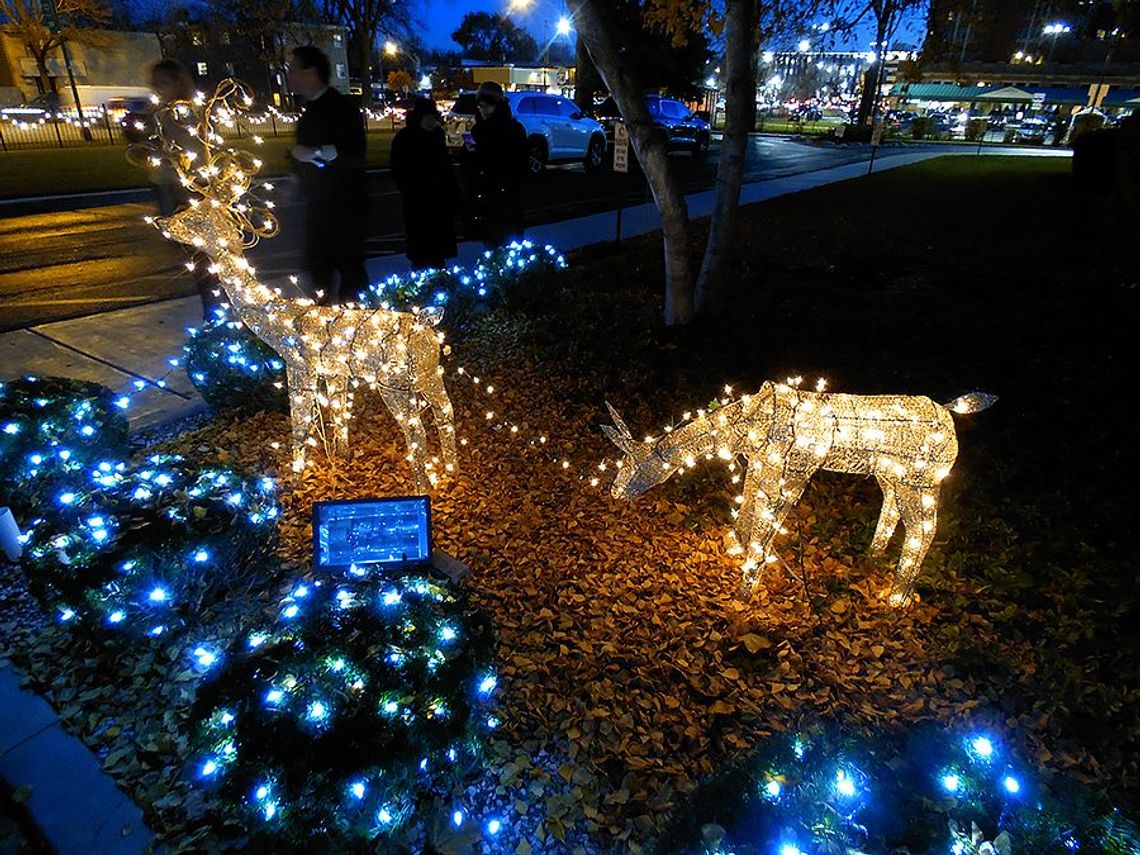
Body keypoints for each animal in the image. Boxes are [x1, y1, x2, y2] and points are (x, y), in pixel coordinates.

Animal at [142, 85, 458, 494]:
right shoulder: (335, 369)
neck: (279, 314)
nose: (161, 222)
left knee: (416, 429)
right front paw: (341, 457)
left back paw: (422, 487)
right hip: (429, 374)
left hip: (395, 382)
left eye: (195, 216)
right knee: (445, 410)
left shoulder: (298, 365)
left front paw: (296, 473)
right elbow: (337, 412)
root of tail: (427, 326)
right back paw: (451, 470)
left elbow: (300, 420)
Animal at [601, 385, 994, 606]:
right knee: (892, 508)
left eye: (635, 465)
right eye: (620, 462)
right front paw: (734, 546)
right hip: (890, 472)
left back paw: (897, 598)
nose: (616, 492)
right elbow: (749, 505)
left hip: (923, 479)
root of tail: (950, 412)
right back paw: (872, 557)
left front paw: (745, 593)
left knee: (924, 529)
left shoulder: (796, 470)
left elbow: (767, 523)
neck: (746, 426)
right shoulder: (762, 464)